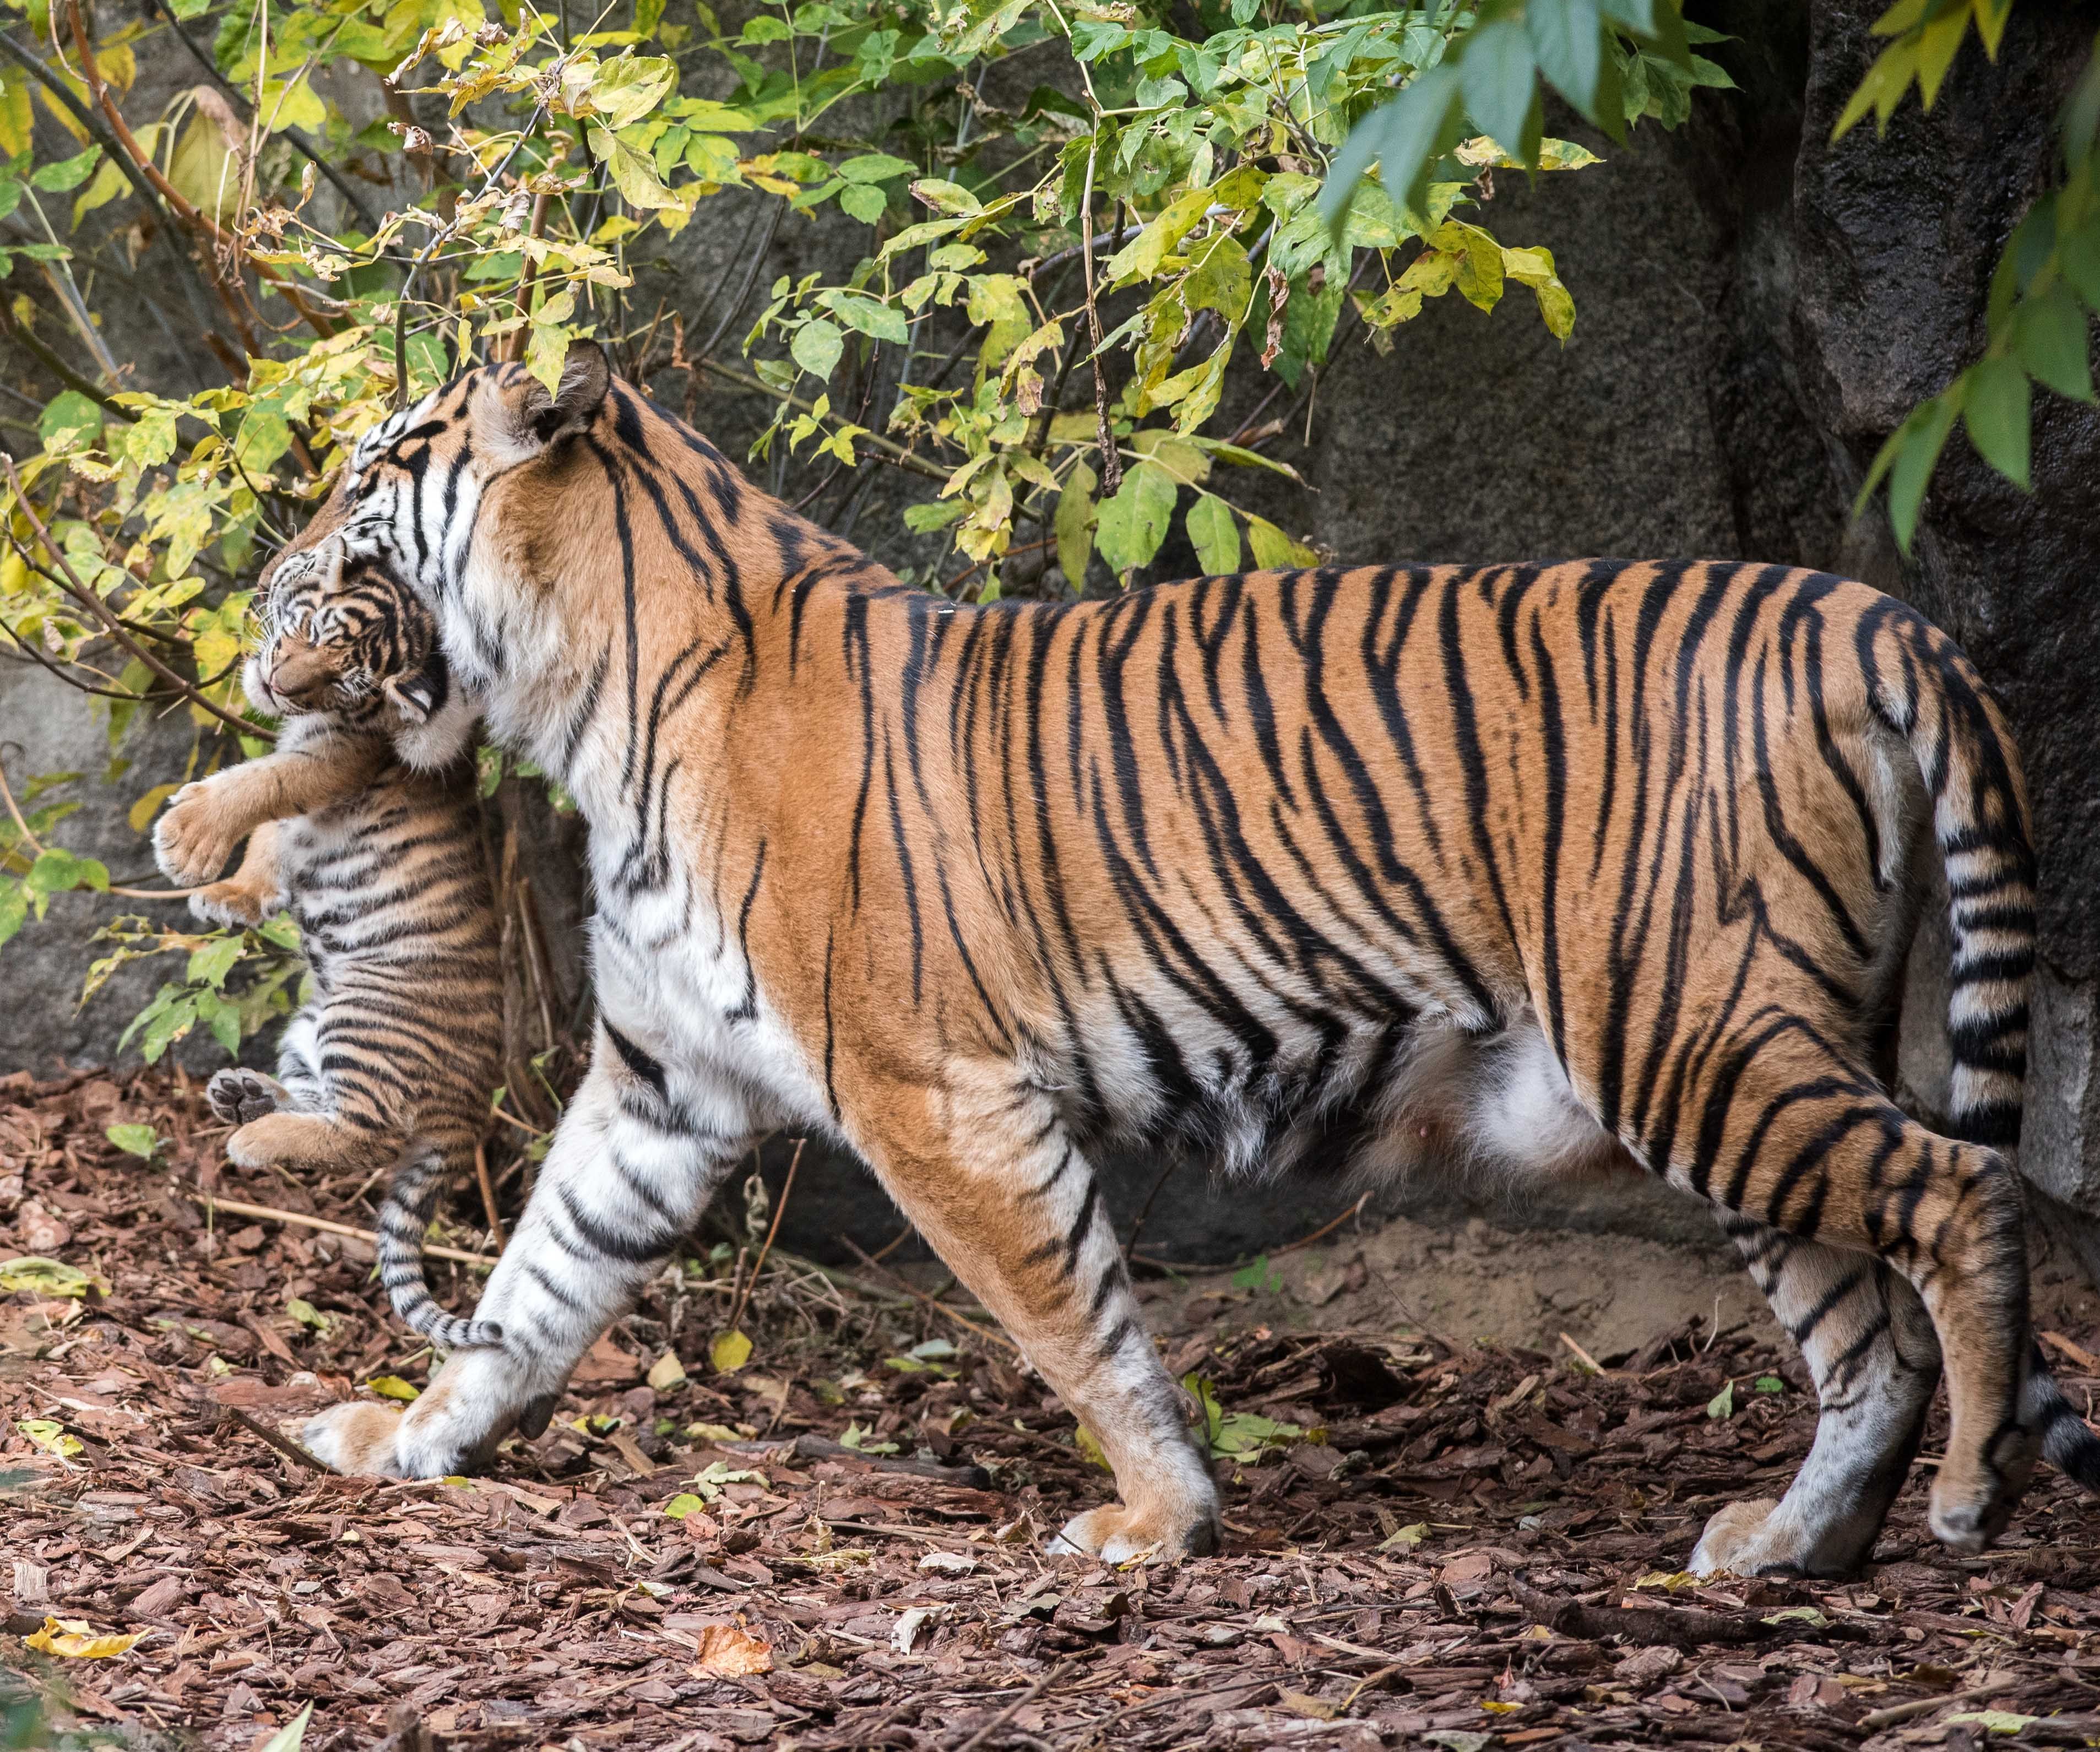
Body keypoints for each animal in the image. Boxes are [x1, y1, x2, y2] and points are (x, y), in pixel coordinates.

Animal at [152, 543, 505, 1352]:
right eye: (309, 629)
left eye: (343, 680)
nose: (281, 685)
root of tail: (471, 1106)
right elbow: (270, 838)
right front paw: (231, 894)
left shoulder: (333, 758)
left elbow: (260, 785)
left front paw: (186, 842)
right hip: (309, 1022)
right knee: (333, 1108)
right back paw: (243, 1095)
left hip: (365, 1016)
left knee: (368, 1134)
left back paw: (254, 1137)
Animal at [279, 338, 2100, 1579]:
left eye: (372, 470)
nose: (276, 571)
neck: (579, 699)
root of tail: (1869, 616)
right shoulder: (664, 1082)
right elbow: (536, 1277)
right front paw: (412, 1433)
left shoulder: (935, 1095)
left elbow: (1073, 1323)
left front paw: (1154, 1521)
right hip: (1723, 1050)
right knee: (1857, 1329)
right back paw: (1788, 1544)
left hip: (1688, 1030)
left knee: (1956, 1188)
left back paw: (1960, 1491)